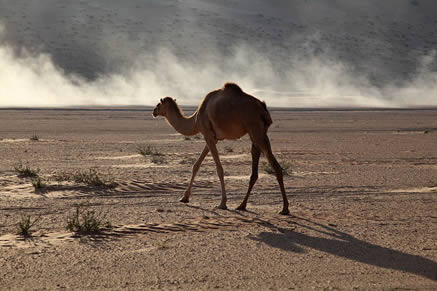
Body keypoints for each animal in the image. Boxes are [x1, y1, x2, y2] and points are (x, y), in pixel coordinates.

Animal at [152, 82, 288, 214]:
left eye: (159, 104)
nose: (153, 111)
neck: (195, 120)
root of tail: (262, 108)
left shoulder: (207, 134)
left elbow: (219, 169)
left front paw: (222, 203)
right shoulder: (212, 137)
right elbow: (196, 165)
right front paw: (184, 197)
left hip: (255, 129)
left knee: (275, 166)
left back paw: (284, 208)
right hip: (257, 132)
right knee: (256, 169)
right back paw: (242, 205)